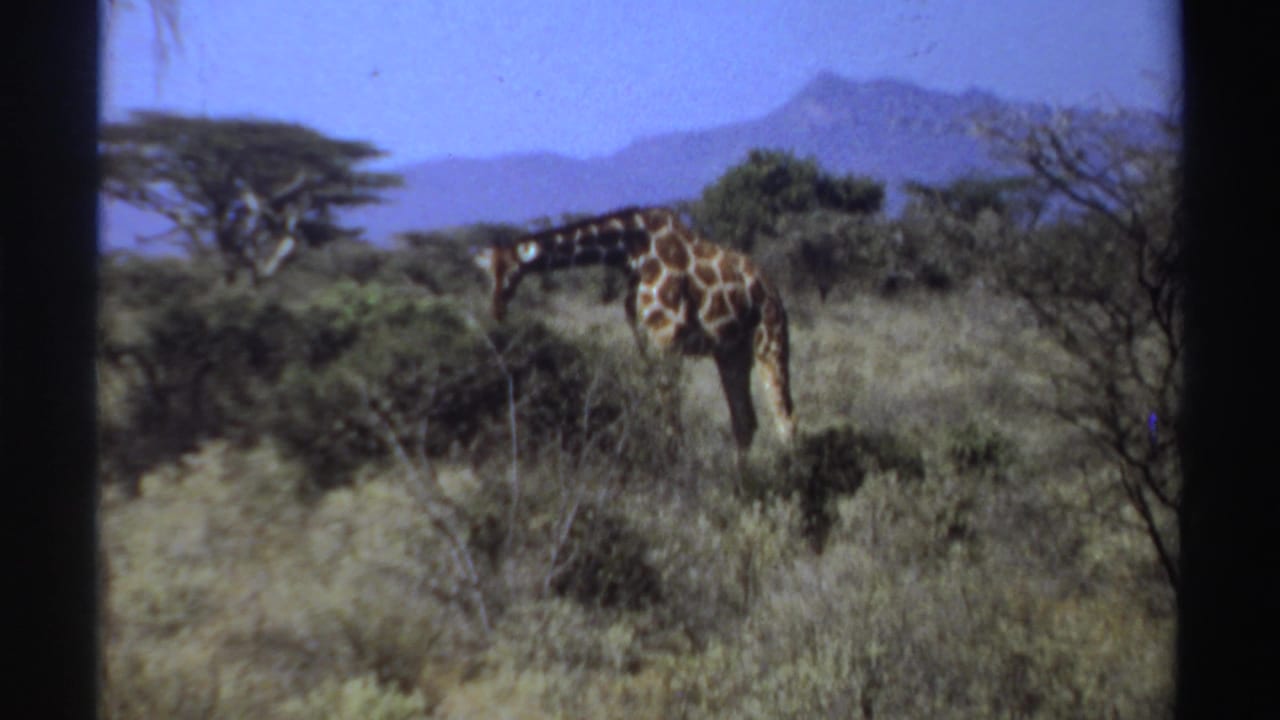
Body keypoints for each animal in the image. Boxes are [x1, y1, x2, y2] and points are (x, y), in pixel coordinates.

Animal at [472, 206, 795, 450]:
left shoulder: (668, 336)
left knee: (784, 416)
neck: (631, 251)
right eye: (488, 275)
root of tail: (772, 290)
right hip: (731, 353)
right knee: (745, 422)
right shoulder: (644, 338)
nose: (496, 311)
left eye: (510, 273)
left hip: (770, 341)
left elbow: (672, 412)